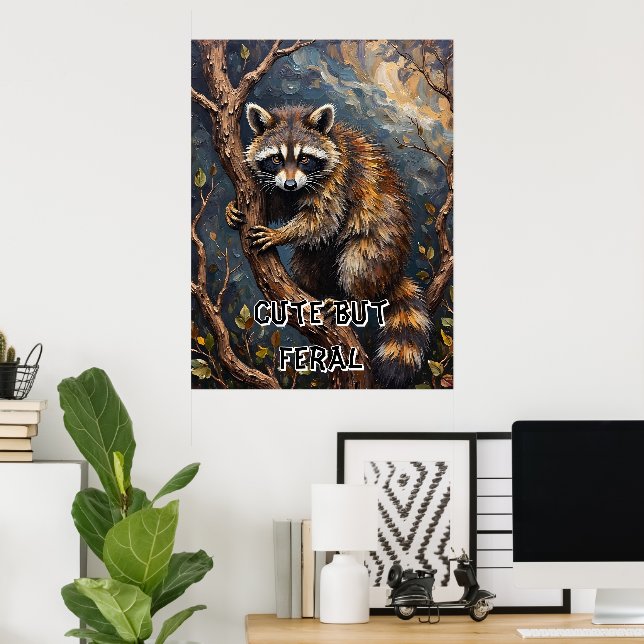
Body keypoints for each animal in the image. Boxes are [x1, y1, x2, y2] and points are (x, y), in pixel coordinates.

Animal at [238, 102, 431, 387]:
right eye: (276, 159)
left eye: (305, 158)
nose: (290, 183)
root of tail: (391, 275)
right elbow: (279, 203)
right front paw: (235, 209)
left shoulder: (338, 179)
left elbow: (322, 220)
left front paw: (280, 234)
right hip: (319, 257)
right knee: (306, 264)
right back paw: (316, 291)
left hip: (380, 243)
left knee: (357, 263)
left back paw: (350, 301)